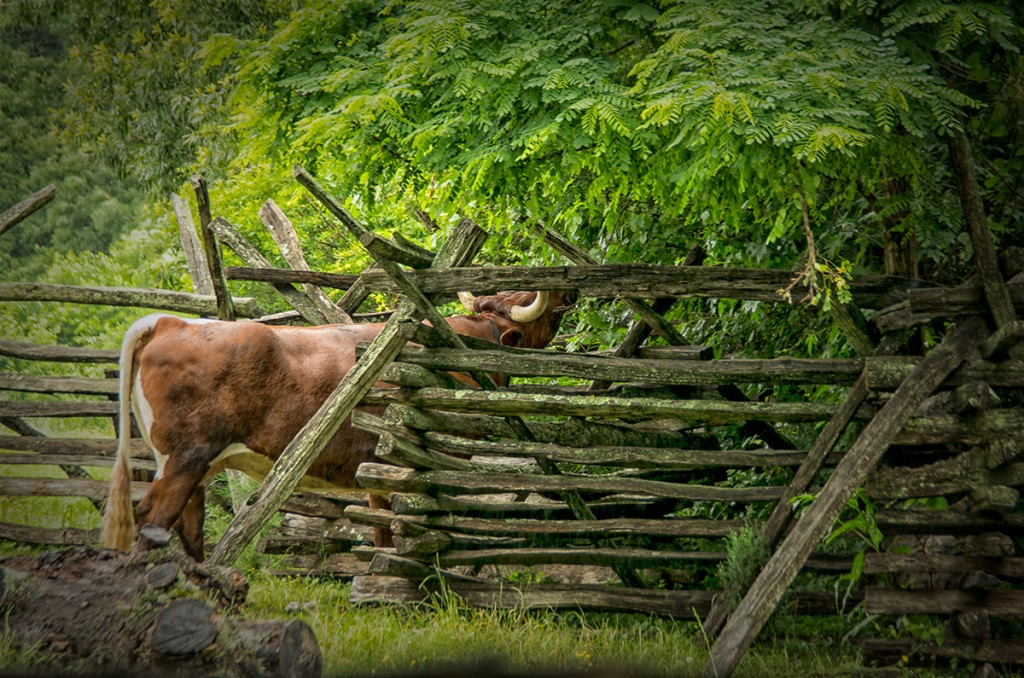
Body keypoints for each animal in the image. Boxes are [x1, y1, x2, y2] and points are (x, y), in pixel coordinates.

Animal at [99, 292, 573, 561]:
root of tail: (170, 320)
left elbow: (382, 529)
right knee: (154, 517)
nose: (565, 291)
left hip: (196, 464)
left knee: (188, 525)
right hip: (185, 455)